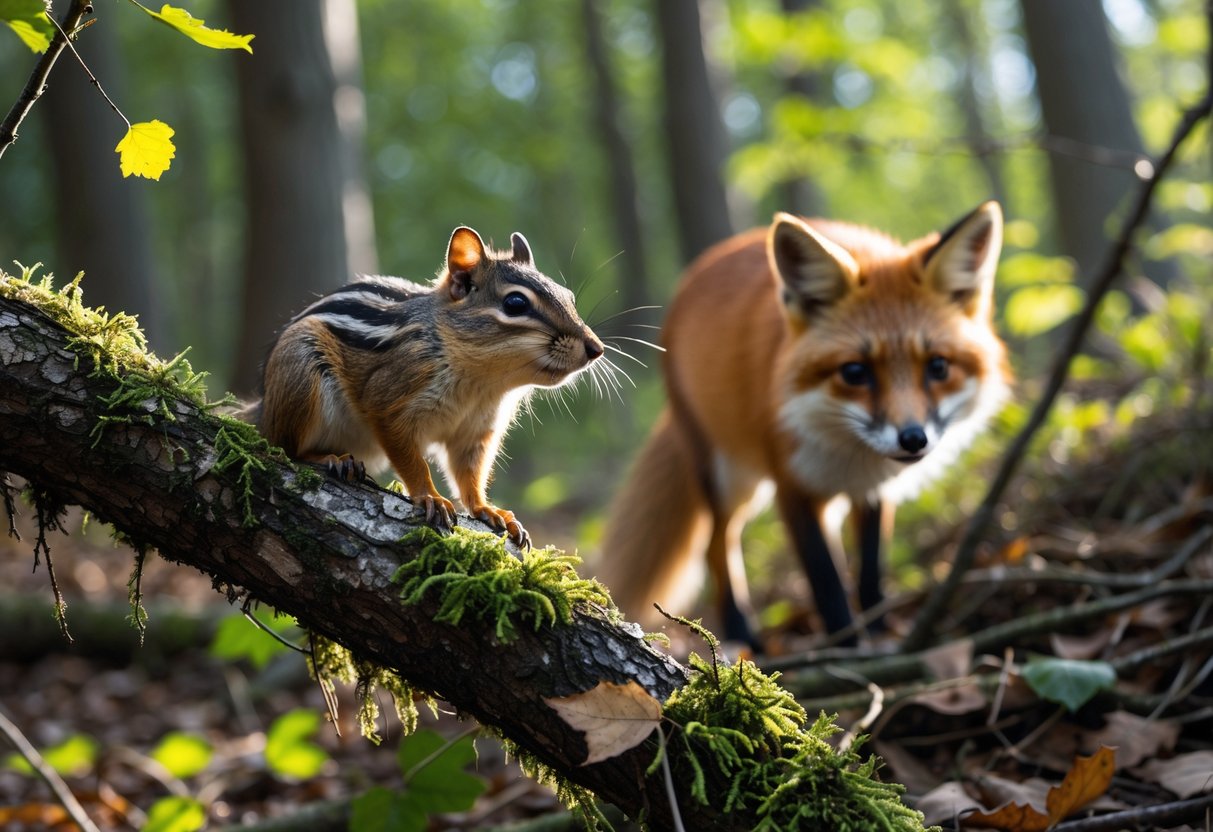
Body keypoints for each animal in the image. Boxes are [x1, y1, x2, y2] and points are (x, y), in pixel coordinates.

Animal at [249, 225, 605, 548]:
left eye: (568, 296)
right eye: (516, 303)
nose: (596, 348)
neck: (482, 383)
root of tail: (263, 409)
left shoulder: (475, 432)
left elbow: (470, 475)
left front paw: (488, 509)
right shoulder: (389, 401)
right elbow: (411, 460)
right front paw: (429, 497)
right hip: (300, 375)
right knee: (287, 445)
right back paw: (332, 459)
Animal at [597, 202, 1010, 648]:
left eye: (938, 367)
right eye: (855, 372)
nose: (913, 439)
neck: (848, 450)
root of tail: (699, 269)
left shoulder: (873, 491)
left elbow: (870, 574)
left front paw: (879, 634)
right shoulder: (793, 488)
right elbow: (827, 583)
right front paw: (848, 647)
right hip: (728, 478)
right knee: (716, 544)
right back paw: (740, 633)